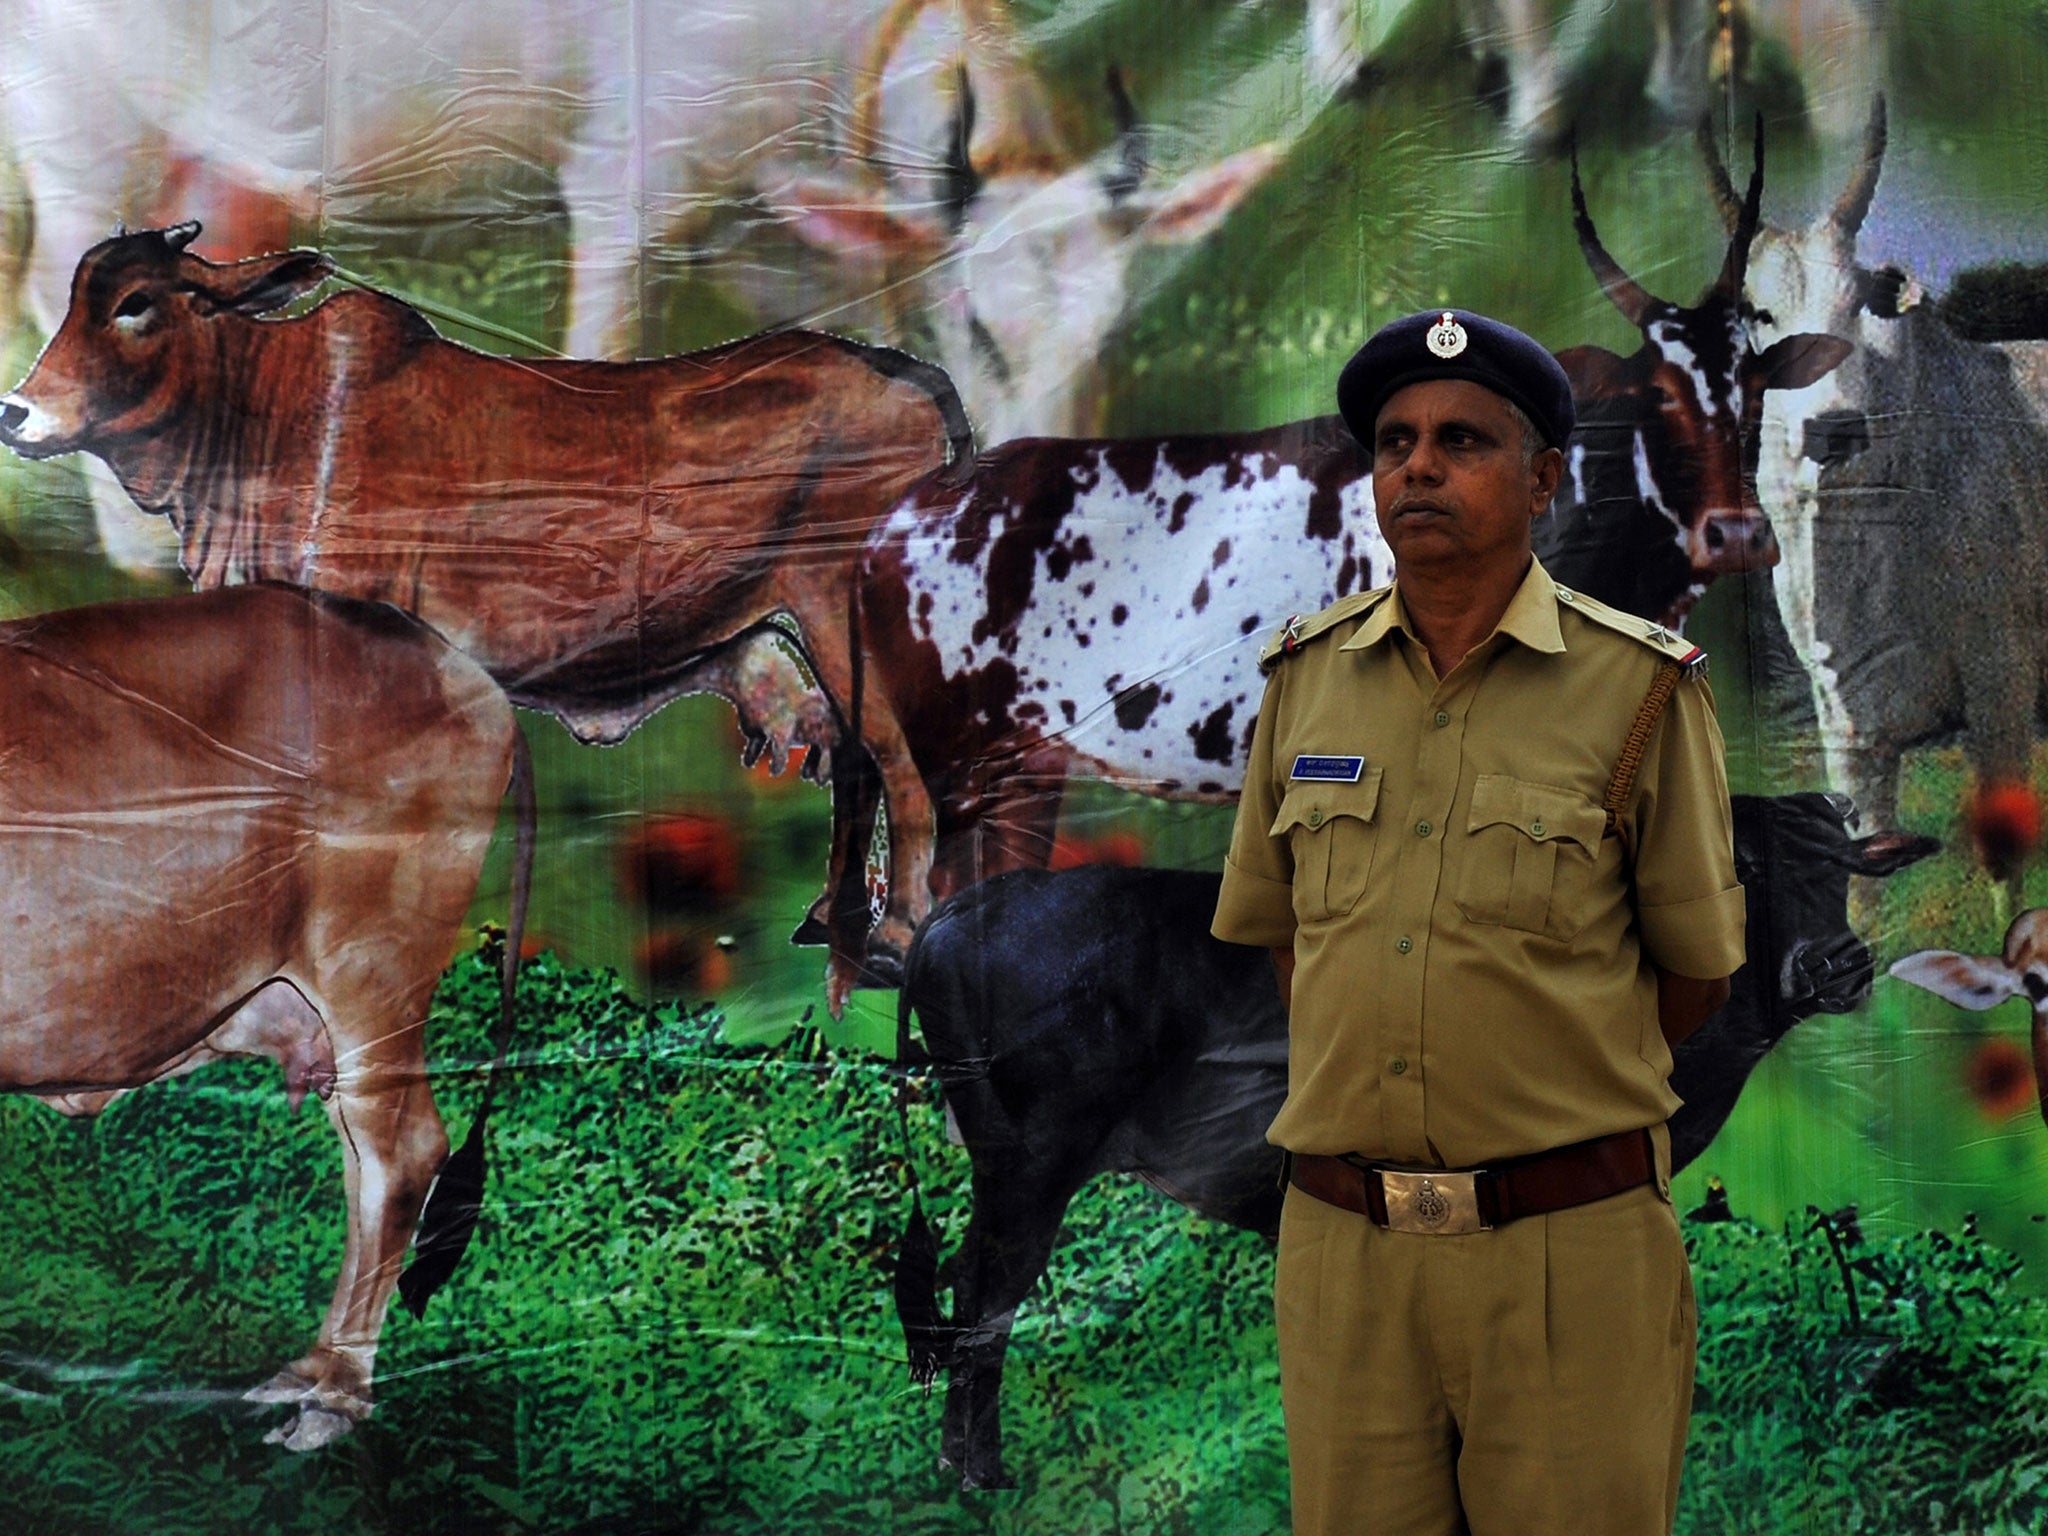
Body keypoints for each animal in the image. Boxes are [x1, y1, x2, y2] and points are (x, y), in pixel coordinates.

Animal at [0, 585, 536, 1458]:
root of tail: (440, 653)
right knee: (365, 1167)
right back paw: (308, 1370)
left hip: (374, 976)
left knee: (399, 1159)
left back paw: (335, 1395)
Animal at [897, 794, 1933, 1490]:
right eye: (1743, 868)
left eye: (1846, 866)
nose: (1837, 962)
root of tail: (964, 910)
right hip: (1029, 1168)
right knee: (982, 1303)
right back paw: (978, 1474)